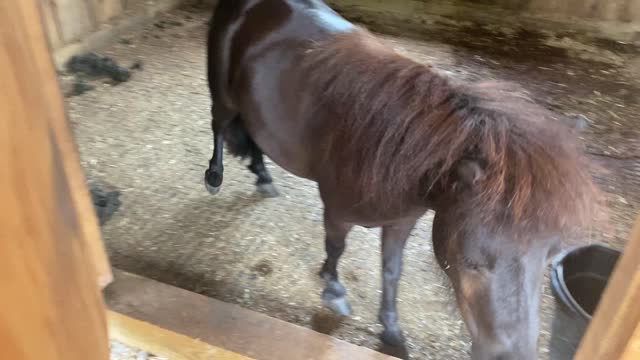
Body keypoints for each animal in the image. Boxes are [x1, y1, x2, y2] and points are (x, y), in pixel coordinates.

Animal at [202, 1, 596, 358]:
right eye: (472, 261)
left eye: (551, 256)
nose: (512, 355)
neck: (385, 144)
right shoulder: (337, 212)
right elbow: (336, 248)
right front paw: (333, 291)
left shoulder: (401, 222)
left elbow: (392, 272)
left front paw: (391, 329)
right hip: (224, 98)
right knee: (220, 126)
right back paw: (215, 176)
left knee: (253, 137)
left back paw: (263, 177)